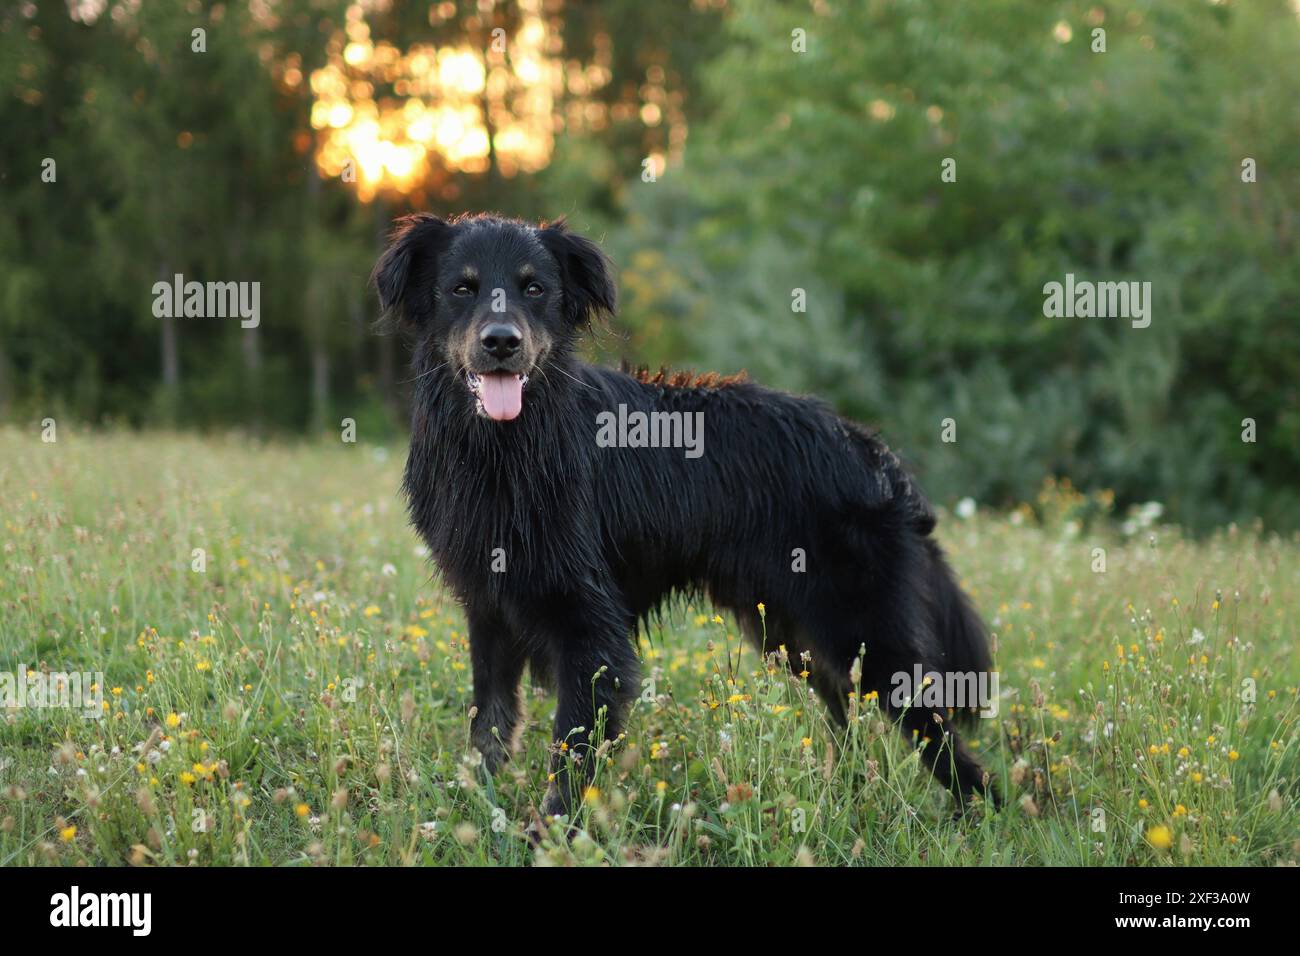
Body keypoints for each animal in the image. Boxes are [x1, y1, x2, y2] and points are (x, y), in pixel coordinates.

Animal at [377, 213, 993, 816]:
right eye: (462, 288)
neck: (506, 448)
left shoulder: (591, 630)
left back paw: (977, 815)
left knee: (943, 740)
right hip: (796, 634)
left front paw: (551, 831)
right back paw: (843, 791)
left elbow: (571, 753)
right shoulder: (489, 609)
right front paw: (472, 806)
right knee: (847, 716)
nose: (501, 342)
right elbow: (489, 724)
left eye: (534, 289)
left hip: (864, 632)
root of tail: (875, 454)